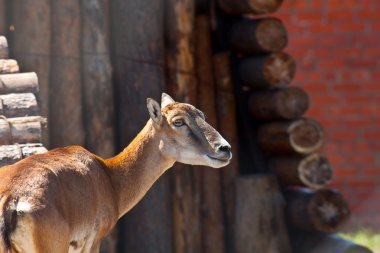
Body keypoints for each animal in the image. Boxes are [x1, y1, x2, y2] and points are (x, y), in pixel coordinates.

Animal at [0, 94, 232, 252]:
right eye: (178, 121)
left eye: (202, 115)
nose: (224, 149)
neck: (109, 177)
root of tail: (11, 199)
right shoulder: (93, 242)